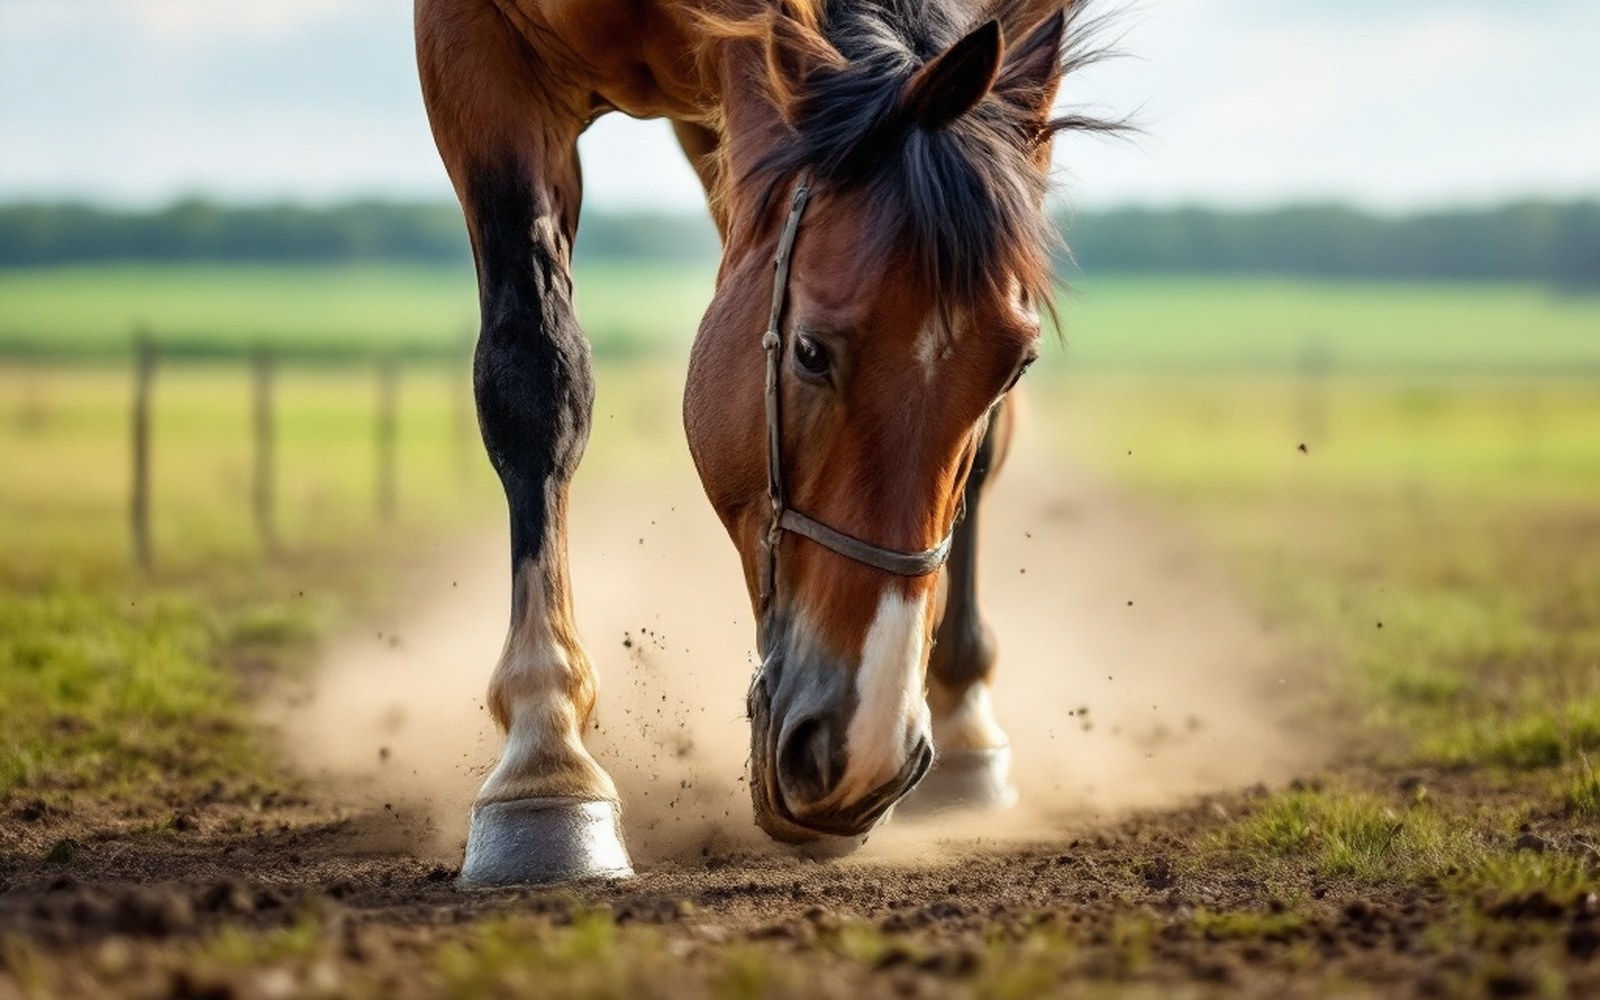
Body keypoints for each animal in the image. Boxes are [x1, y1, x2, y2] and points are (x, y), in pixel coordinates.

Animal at [415, 0, 1110, 885]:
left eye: (1017, 365)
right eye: (809, 352)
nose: (864, 755)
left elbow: (988, 446)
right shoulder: (475, 47)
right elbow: (534, 375)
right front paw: (548, 760)